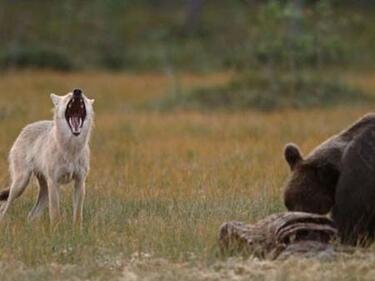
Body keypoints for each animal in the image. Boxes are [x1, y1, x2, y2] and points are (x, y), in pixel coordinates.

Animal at [0, 88, 94, 225]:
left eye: (84, 98)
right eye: (68, 96)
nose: (77, 91)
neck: (71, 149)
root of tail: (25, 128)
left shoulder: (80, 182)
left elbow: (77, 216)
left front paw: (77, 230)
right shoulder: (54, 182)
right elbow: (55, 214)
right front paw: (57, 230)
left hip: (43, 192)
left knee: (31, 215)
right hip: (20, 184)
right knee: (4, 208)